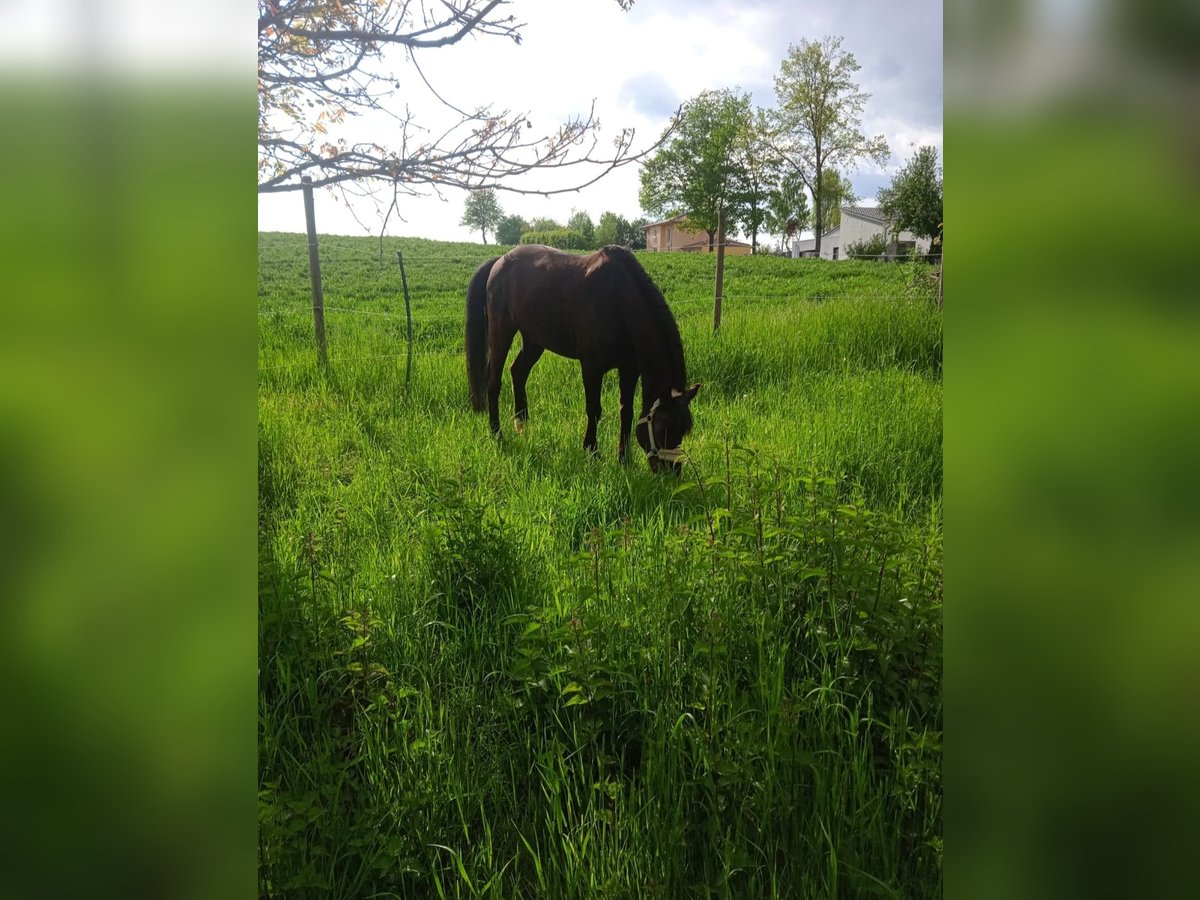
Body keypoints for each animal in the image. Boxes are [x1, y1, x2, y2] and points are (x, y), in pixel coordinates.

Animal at [465, 244, 700, 473]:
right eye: (662, 430)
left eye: (683, 430)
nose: (672, 473)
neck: (618, 299)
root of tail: (498, 261)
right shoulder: (591, 367)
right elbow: (594, 410)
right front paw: (591, 452)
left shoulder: (629, 368)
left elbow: (627, 411)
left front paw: (623, 460)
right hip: (501, 333)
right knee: (493, 381)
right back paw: (496, 433)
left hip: (534, 340)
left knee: (518, 372)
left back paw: (522, 424)